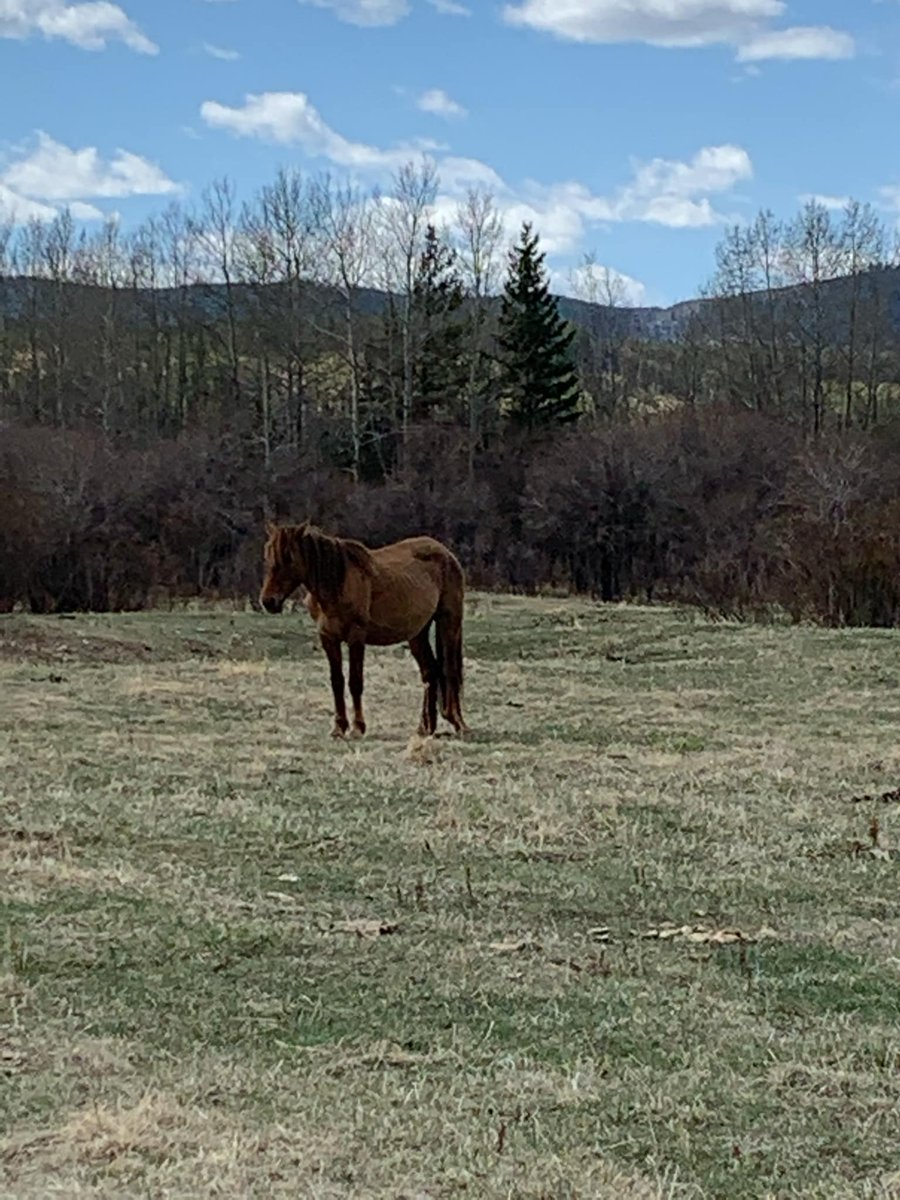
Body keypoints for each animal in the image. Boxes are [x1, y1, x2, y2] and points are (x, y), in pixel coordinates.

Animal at [259, 522, 468, 739]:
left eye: (289, 557)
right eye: (267, 554)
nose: (268, 601)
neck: (338, 582)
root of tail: (446, 553)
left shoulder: (356, 637)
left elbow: (355, 681)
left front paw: (358, 727)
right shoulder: (328, 638)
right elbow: (337, 682)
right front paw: (339, 728)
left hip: (449, 622)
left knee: (449, 670)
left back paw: (458, 723)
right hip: (417, 633)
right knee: (430, 672)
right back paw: (425, 727)